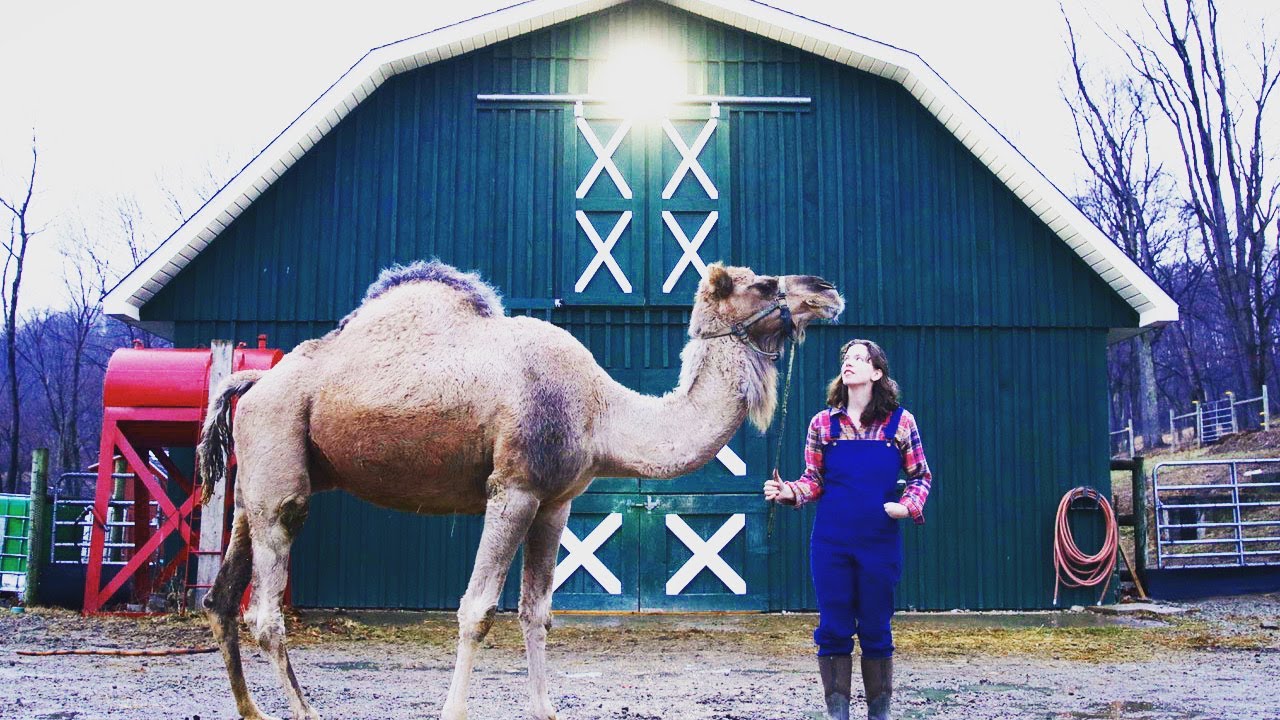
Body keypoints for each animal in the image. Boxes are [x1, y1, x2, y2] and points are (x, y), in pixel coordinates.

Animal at [196, 259, 844, 720]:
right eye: (764, 284)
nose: (828, 289)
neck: (601, 410)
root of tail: (251, 383)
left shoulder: (556, 501)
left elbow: (538, 612)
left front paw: (546, 710)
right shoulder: (514, 487)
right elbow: (477, 610)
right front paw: (453, 712)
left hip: (255, 483)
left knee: (222, 595)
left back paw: (251, 710)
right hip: (281, 466)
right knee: (266, 610)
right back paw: (302, 711)